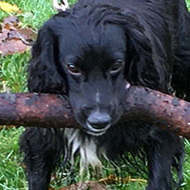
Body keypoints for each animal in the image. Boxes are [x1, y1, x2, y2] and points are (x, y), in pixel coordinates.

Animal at [20, 0, 190, 189]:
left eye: (117, 65)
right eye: (72, 68)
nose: (99, 121)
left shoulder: (162, 130)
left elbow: (159, 176)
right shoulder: (41, 135)